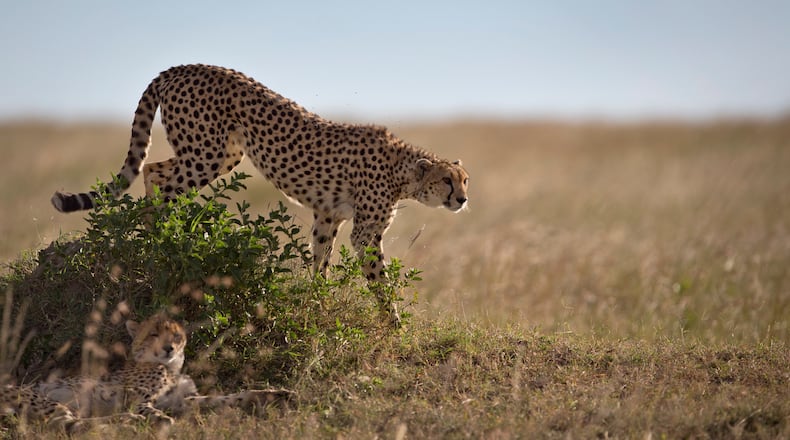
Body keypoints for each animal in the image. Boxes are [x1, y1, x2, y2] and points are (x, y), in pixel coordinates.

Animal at [0, 313, 289, 434]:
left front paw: (271, 394)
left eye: (176, 335)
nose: (168, 348)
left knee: (72, 424)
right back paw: (129, 421)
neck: (170, 367)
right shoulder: (137, 398)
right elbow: (150, 408)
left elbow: (227, 398)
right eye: (153, 334)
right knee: (69, 424)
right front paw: (161, 420)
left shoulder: (184, 400)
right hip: (43, 399)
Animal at [50, 64, 470, 324]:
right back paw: (160, 235)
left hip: (223, 154)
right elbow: (379, 281)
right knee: (160, 181)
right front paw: (392, 322)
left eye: (466, 180)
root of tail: (183, 66)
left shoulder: (327, 216)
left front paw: (316, 304)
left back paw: (163, 230)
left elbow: (320, 263)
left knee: (154, 170)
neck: (404, 171)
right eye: (448, 181)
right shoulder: (365, 233)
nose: (463, 200)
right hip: (205, 154)